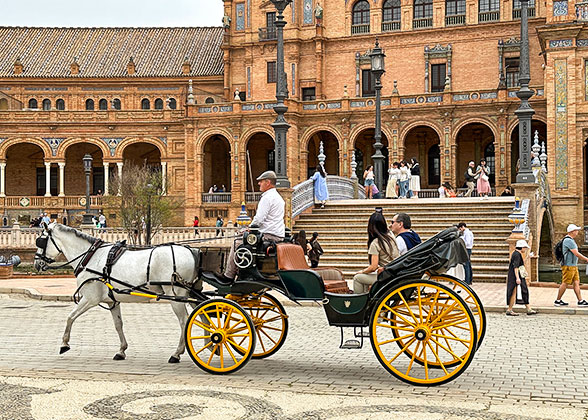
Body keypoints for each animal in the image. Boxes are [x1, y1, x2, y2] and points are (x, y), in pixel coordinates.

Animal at [36, 223, 204, 364]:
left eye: (41, 241)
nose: (37, 263)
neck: (91, 256)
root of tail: (192, 250)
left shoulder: (90, 298)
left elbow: (70, 317)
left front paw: (64, 343)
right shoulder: (112, 301)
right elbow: (118, 325)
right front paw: (121, 350)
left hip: (176, 296)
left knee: (184, 321)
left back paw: (177, 353)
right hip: (190, 294)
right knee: (202, 316)